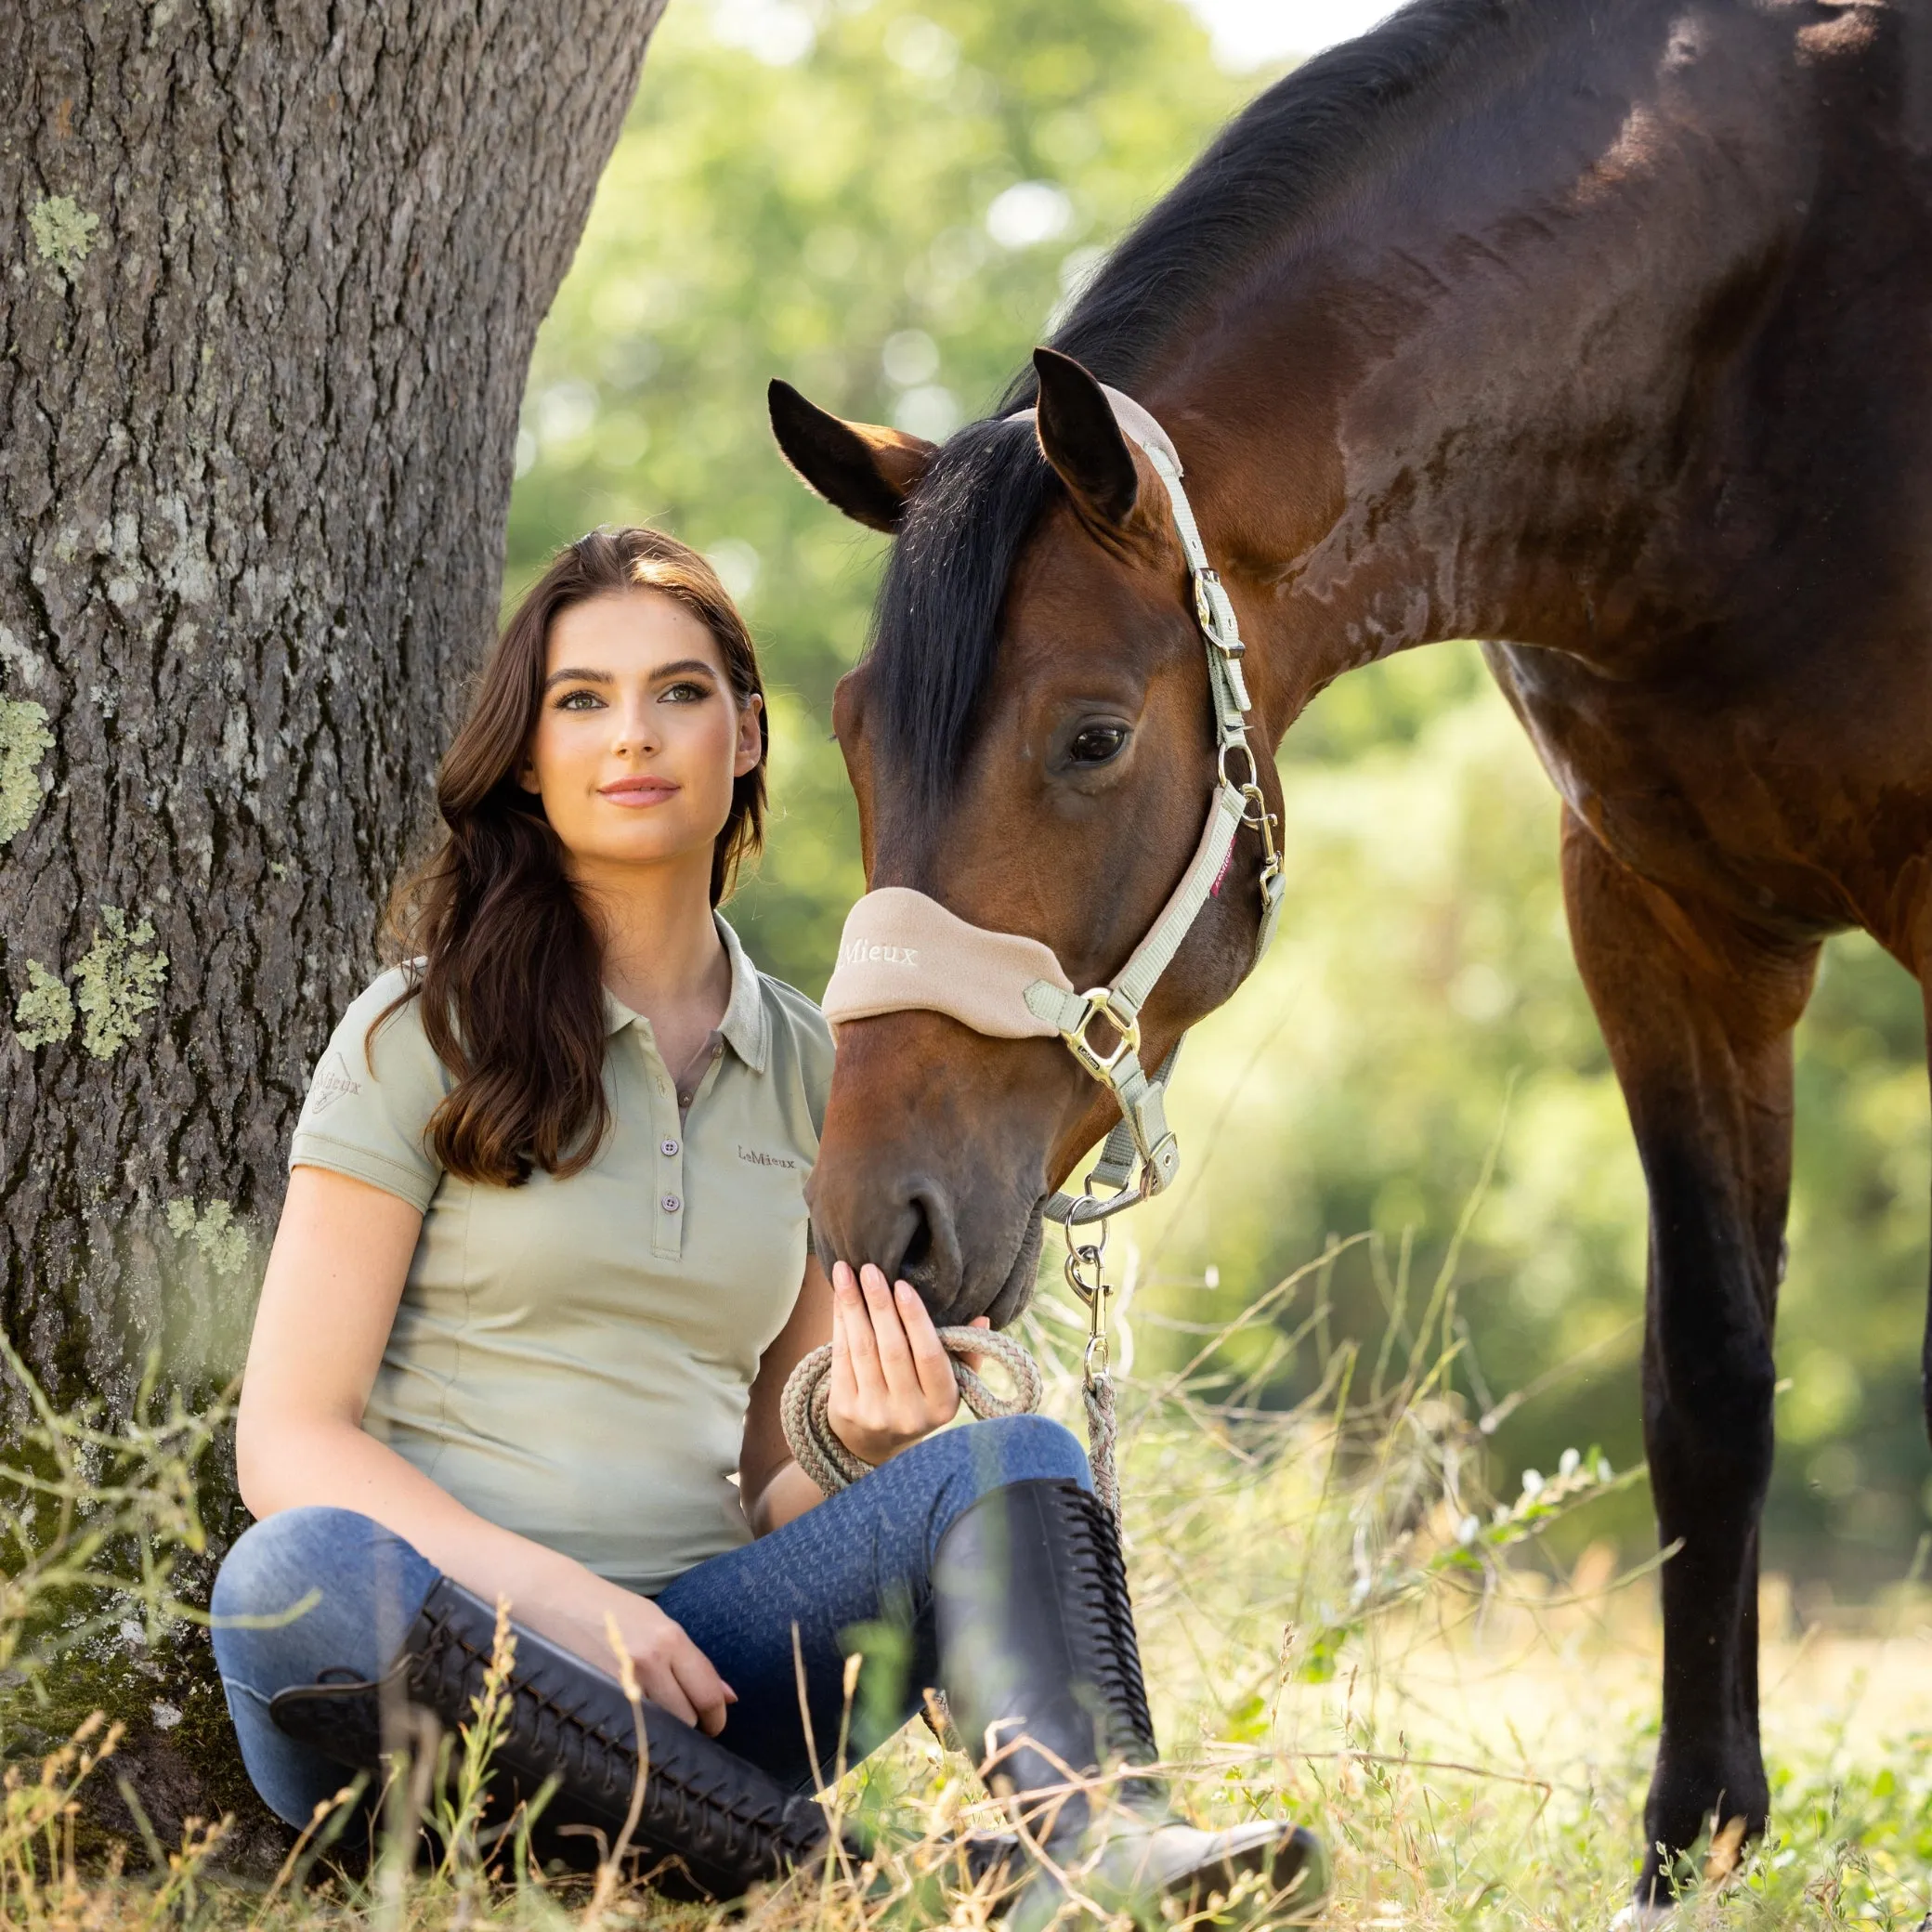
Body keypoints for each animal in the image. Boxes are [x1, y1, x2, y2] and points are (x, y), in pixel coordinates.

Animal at [768, 0, 1932, 1900]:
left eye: (1093, 738)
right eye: (854, 732)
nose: (882, 1225)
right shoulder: (1662, 918)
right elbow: (1710, 1385)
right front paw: (1691, 1848)